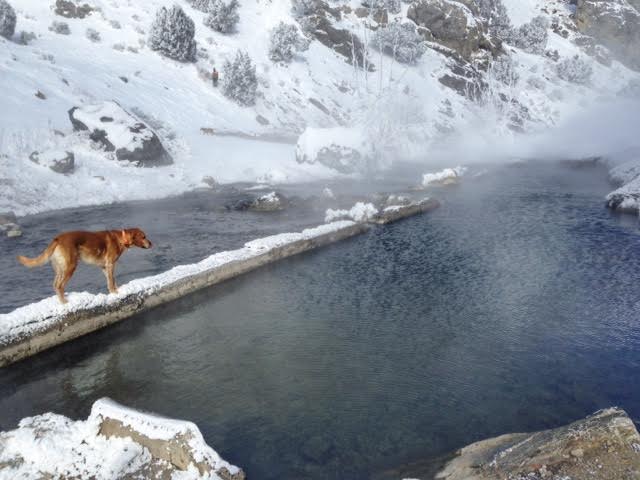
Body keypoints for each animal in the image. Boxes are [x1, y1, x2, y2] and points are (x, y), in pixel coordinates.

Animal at [18, 229, 152, 304]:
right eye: (144, 236)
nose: (151, 243)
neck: (120, 239)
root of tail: (57, 239)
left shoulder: (105, 267)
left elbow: (112, 281)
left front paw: (117, 290)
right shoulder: (110, 265)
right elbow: (111, 282)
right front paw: (115, 293)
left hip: (60, 269)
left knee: (55, 285)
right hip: (70, 267)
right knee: (60, 286)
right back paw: (64, 303)